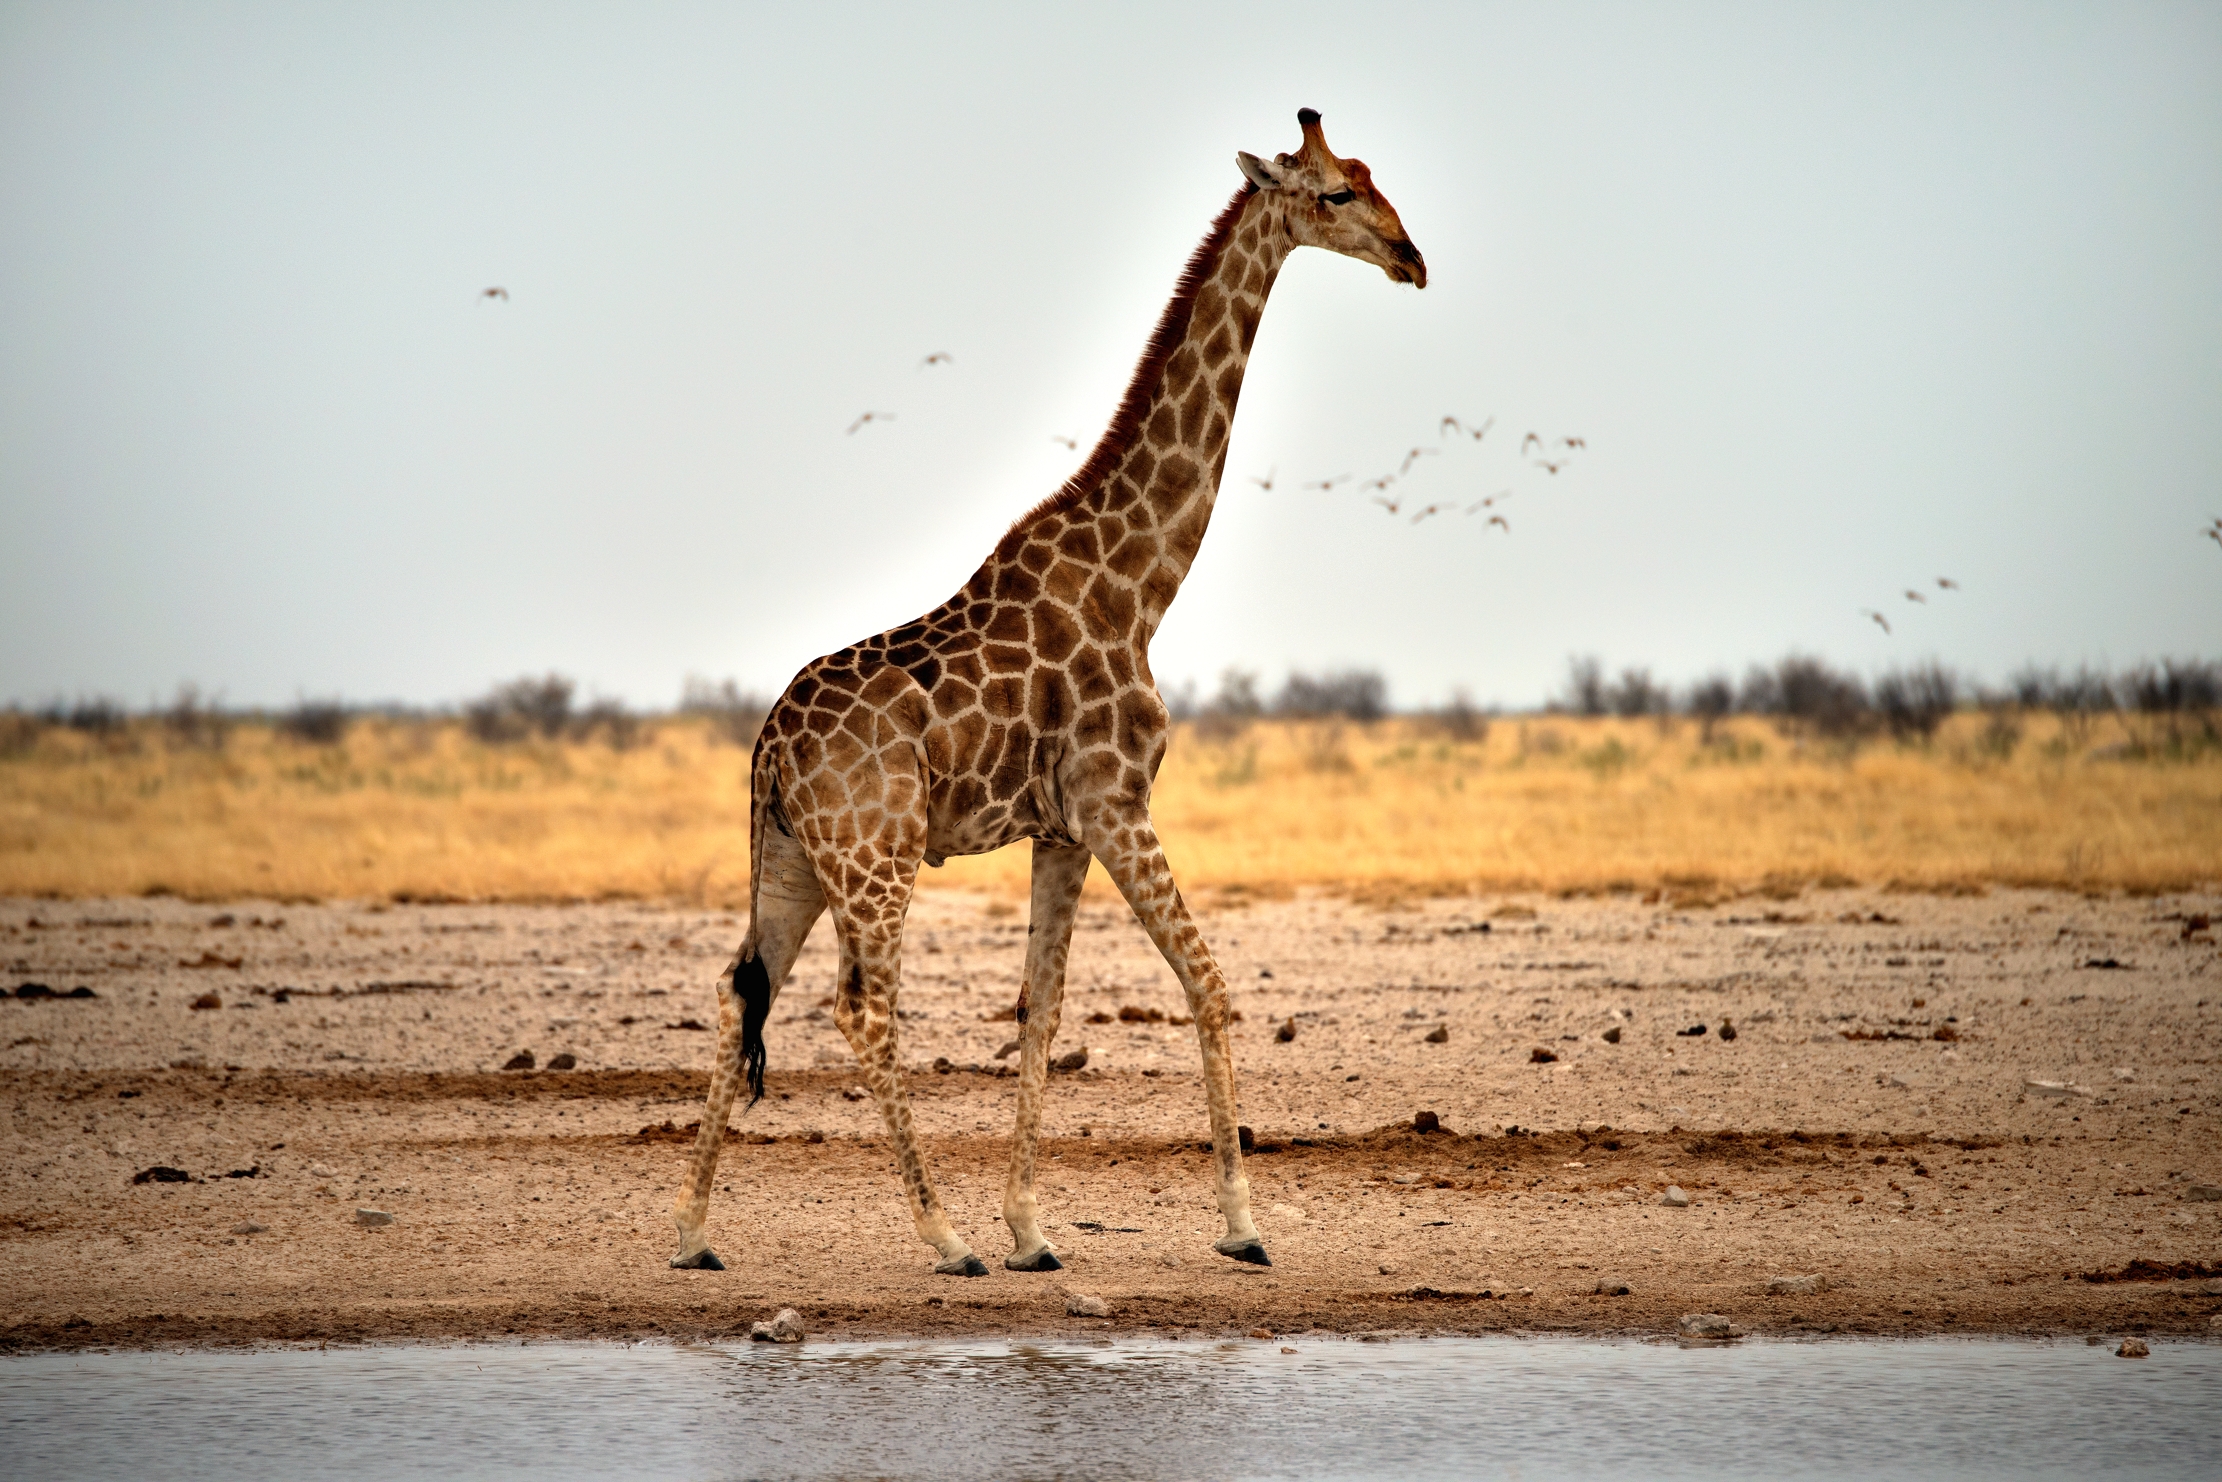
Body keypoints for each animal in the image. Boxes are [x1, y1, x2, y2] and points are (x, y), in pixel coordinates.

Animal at [669, 108, 1425, 1277]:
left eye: (1373, 178)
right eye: (1336, 192)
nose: (1411, 260)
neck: (1142, 584)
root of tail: (768, 749)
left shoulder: (1061, 828)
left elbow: (1040, 1009)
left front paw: (1031, 1231)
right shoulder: (1118, 802)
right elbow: (1206, 983)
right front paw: (1241, 1226)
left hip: (792, 860)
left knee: (741, 987)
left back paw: (696, 1234)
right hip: (876, 858)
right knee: (863, 1012)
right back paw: (941, 1237)